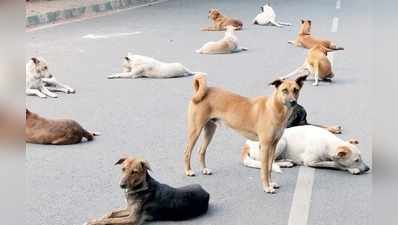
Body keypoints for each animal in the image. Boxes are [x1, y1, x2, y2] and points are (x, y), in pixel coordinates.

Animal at [241, 125, 372, 175]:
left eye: (362, 158)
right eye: (356, 160)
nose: (368, 168)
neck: (329, 143)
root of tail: (246, 144)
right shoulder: (311, 162)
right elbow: (334, 164)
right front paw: (350, 168)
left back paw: (287, 160)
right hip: (280, 141)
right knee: (269, 162)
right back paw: (285, 163)